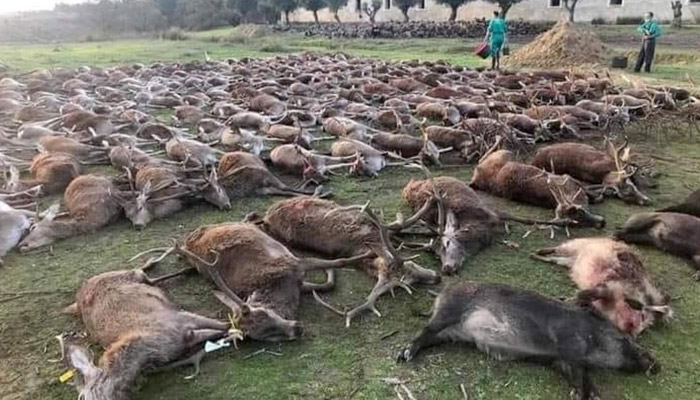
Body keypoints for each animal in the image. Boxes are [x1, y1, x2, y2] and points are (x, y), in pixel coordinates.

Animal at [131, 222, 372, 340]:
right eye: (265, 335)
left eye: (264, 314)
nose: (297, 328)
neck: (283, 287)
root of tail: (187, 240)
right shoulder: (298, 278)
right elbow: (327, 284)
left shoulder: (294, 264)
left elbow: (340, 262)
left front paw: (368, 254)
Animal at [532, 238, 672, 338]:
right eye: (642, 317)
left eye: (644, 329)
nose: (634, 334)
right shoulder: (608, 286)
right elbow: (586, 293)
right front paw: (566, 300)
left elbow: (586, 299)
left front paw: (568, 300)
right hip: (575, 245)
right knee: (558, 248)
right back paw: (538, 251)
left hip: (568, 261)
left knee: (554, 259)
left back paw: (535, 255)